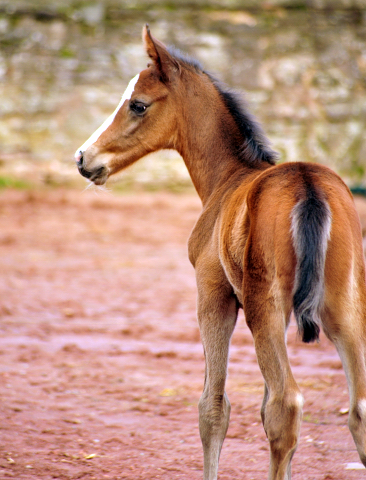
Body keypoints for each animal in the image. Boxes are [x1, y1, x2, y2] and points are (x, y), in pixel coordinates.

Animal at [74, 26, 366, 480]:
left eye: (138, 104)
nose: (84, 158)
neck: (229, 177)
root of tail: (308, 185)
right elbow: (256, 408)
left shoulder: (214, 296)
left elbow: (213, 407)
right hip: (342, 309)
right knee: (356, 411)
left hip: (265, 308)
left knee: (285, 405)